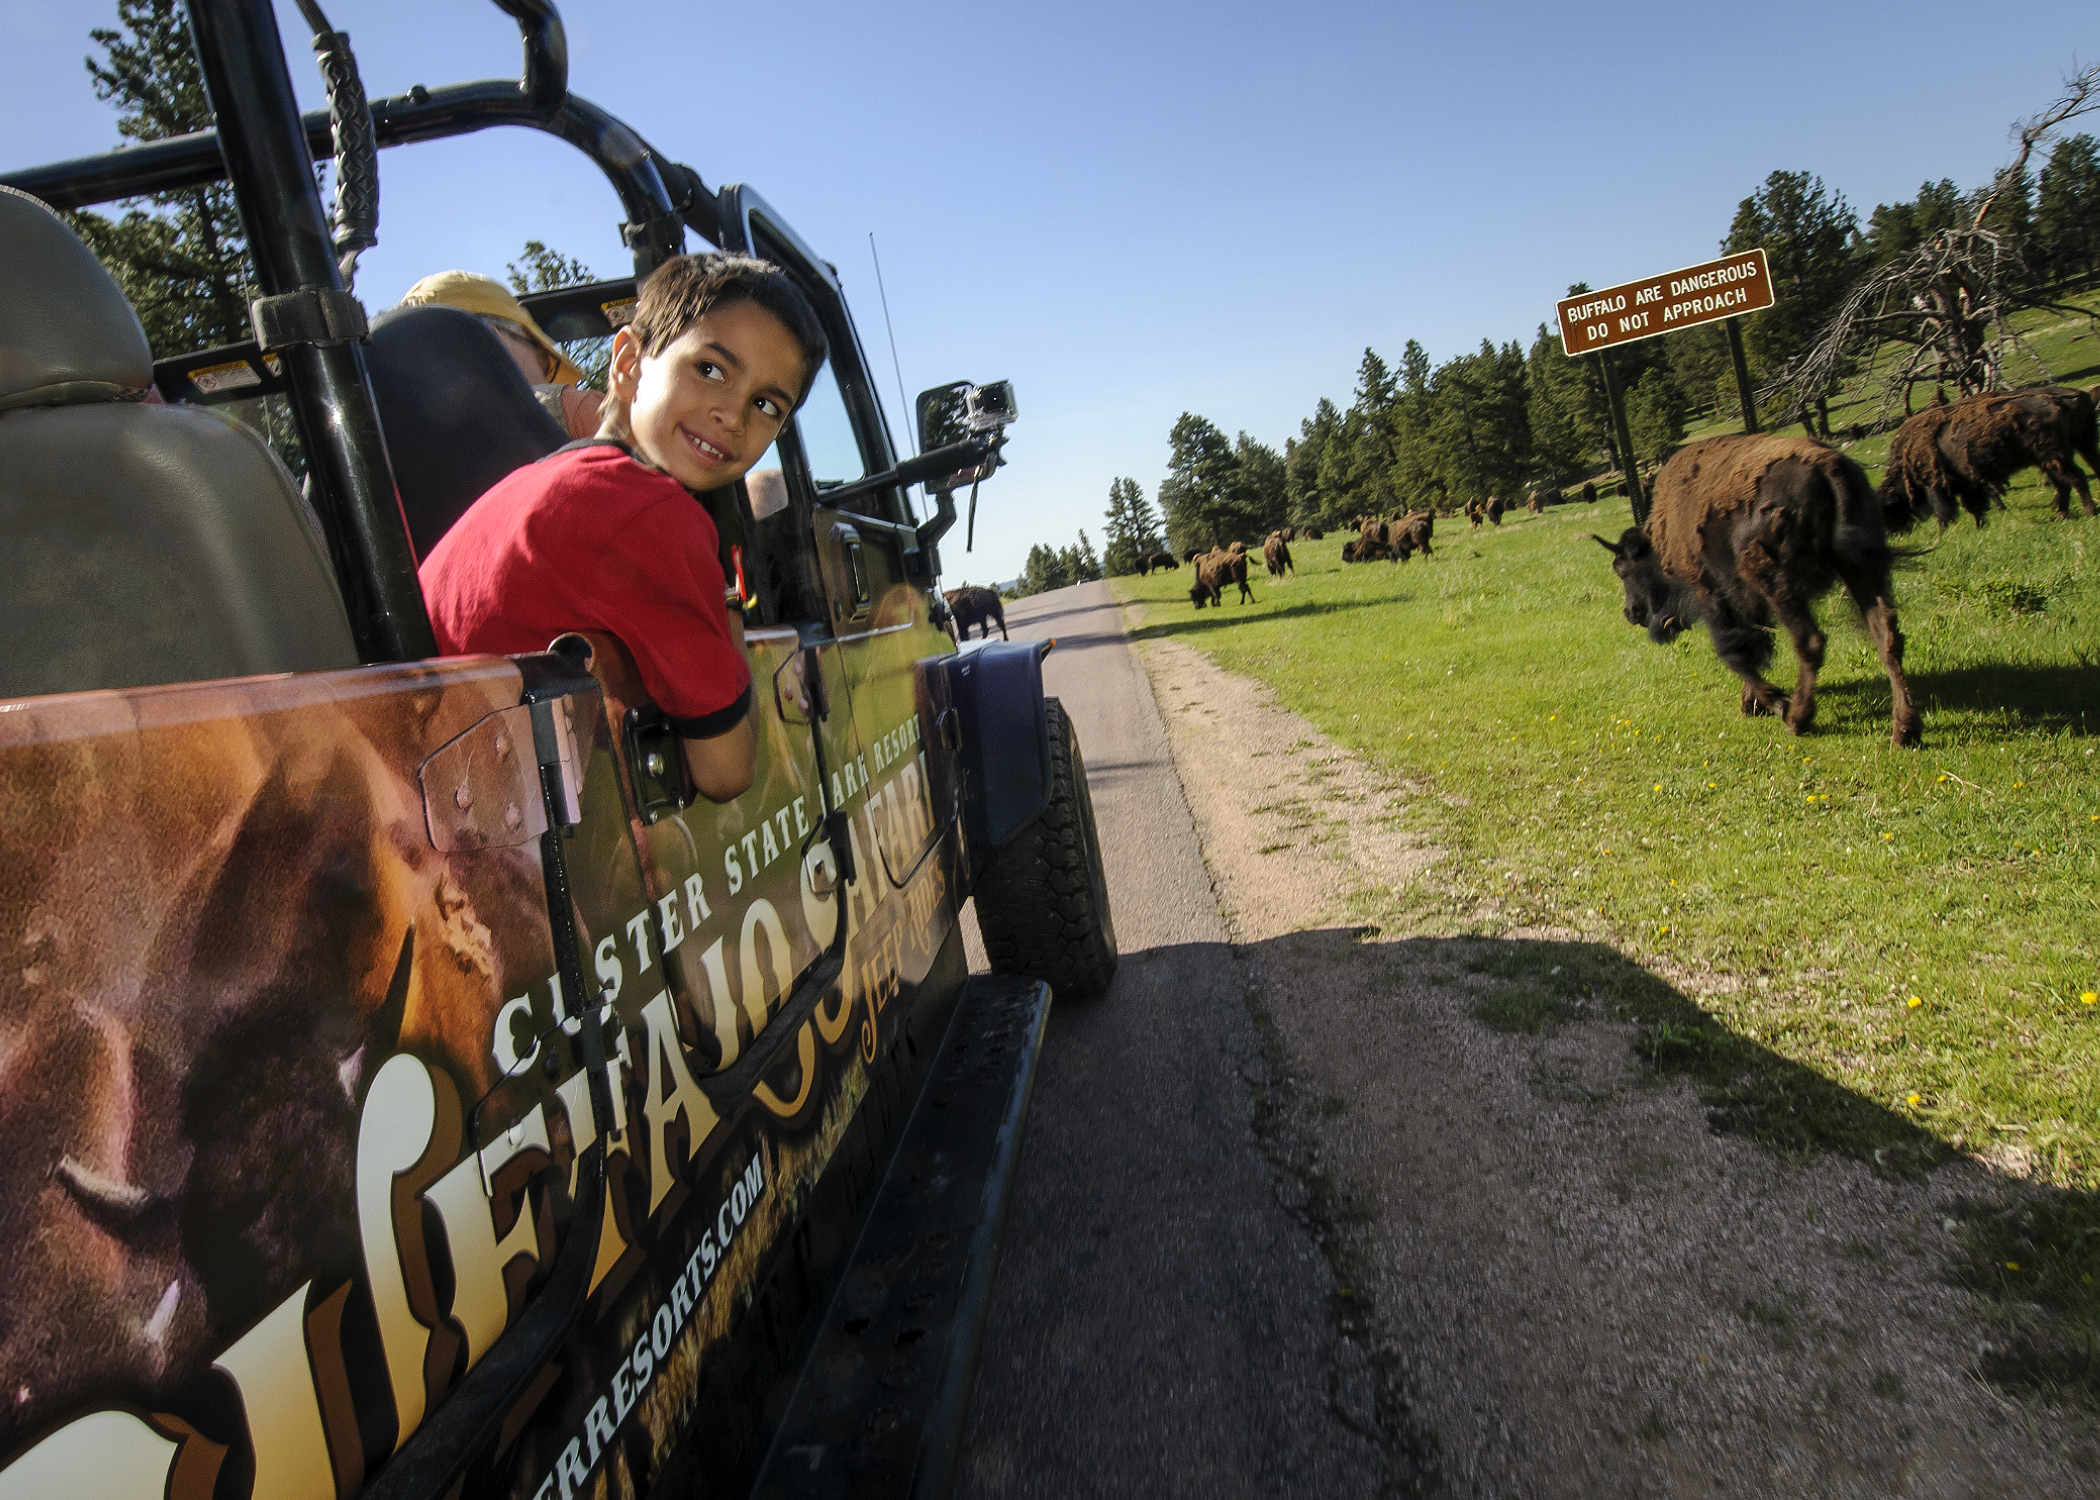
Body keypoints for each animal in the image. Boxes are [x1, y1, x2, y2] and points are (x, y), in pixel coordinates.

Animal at [1587, 432, 1923, 747]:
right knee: (1886, 634)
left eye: (1623, 569)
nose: (1631, 612)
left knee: (1810, 640)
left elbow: (1735, 653)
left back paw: (1798, 718)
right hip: (1861, 568)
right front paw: (1753, 703)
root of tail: (1829, 466)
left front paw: (1773, 703)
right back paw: (1905, 730)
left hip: (1776, 584)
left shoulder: (1712, 593)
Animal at [1889, 382, 2100, 529]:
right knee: (2072, 479)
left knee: (2075, 478)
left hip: (2055, 457)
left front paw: (1945, 529)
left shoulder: (1936, 483)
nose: (1894, 532)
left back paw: (2088, 512)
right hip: (2080, 447)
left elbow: (1945, 509)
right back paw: (2062, 515)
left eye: (1891, 505)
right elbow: (1973, 504)